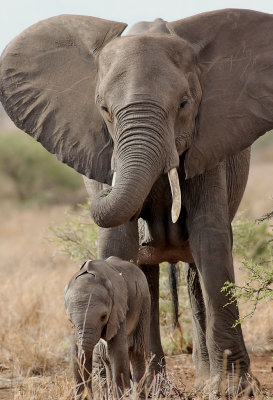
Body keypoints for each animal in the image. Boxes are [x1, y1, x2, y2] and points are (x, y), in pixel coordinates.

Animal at [64, 258, 150, 398]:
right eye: (70, 319)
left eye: (103, 316)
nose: (90, 395)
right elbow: (75, 353)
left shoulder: (118, 309)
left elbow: (118, 352)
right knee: (107, 357)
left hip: (144, 304)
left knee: (138, 353)